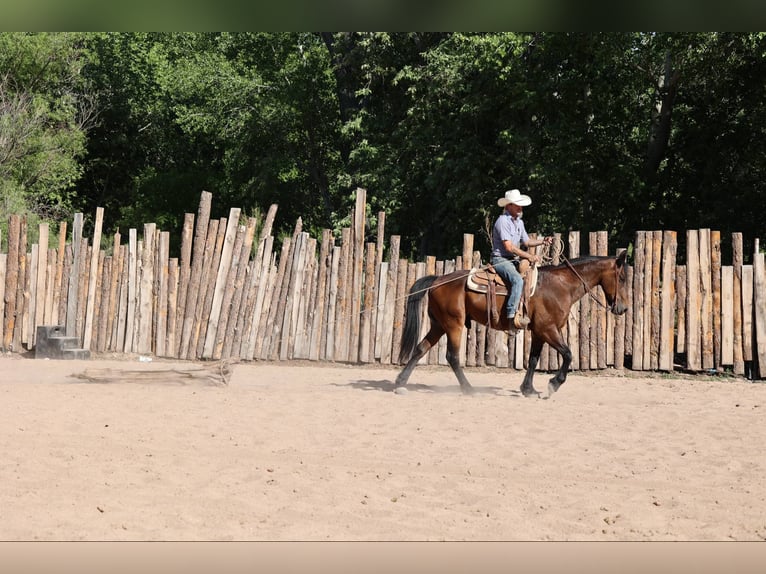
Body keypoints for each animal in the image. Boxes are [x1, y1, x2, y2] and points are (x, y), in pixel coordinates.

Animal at [396, 251, 629, 397]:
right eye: (622, 278)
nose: (623, 309)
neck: (560, 285)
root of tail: (437, 280)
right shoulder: (548, 329)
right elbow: (568, 354)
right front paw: (553, 385)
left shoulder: (539, 332)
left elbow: (533, 360)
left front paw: (528, 389)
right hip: (454, 324)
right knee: (452, 356)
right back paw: (469, 389)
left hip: (439, 325)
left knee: (420, 349)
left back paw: (400, 384)